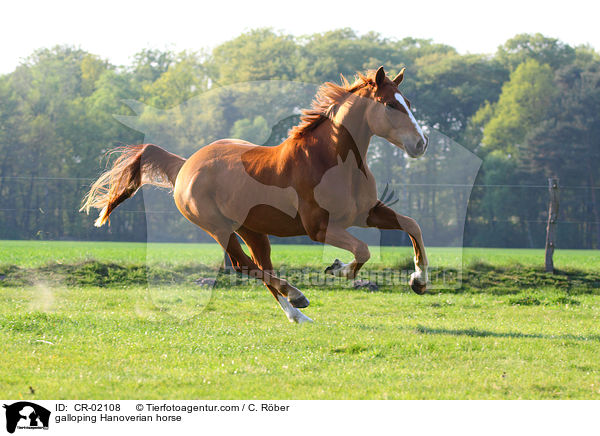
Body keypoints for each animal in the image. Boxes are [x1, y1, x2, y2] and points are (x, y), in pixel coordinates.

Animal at [82, 66, 428, 322]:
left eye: (409, 103)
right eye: (390, 105)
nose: (421, 144)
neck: (330, 161)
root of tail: (185, 166)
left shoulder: (365, 213)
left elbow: (411, 226)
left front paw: (419, 281)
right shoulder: (319, 228)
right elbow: (363, 251)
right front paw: (336, 268)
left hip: (253, 230)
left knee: (261, 268)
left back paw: (296, 314)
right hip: (218, 228)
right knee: (244, 266)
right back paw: (298, 297)